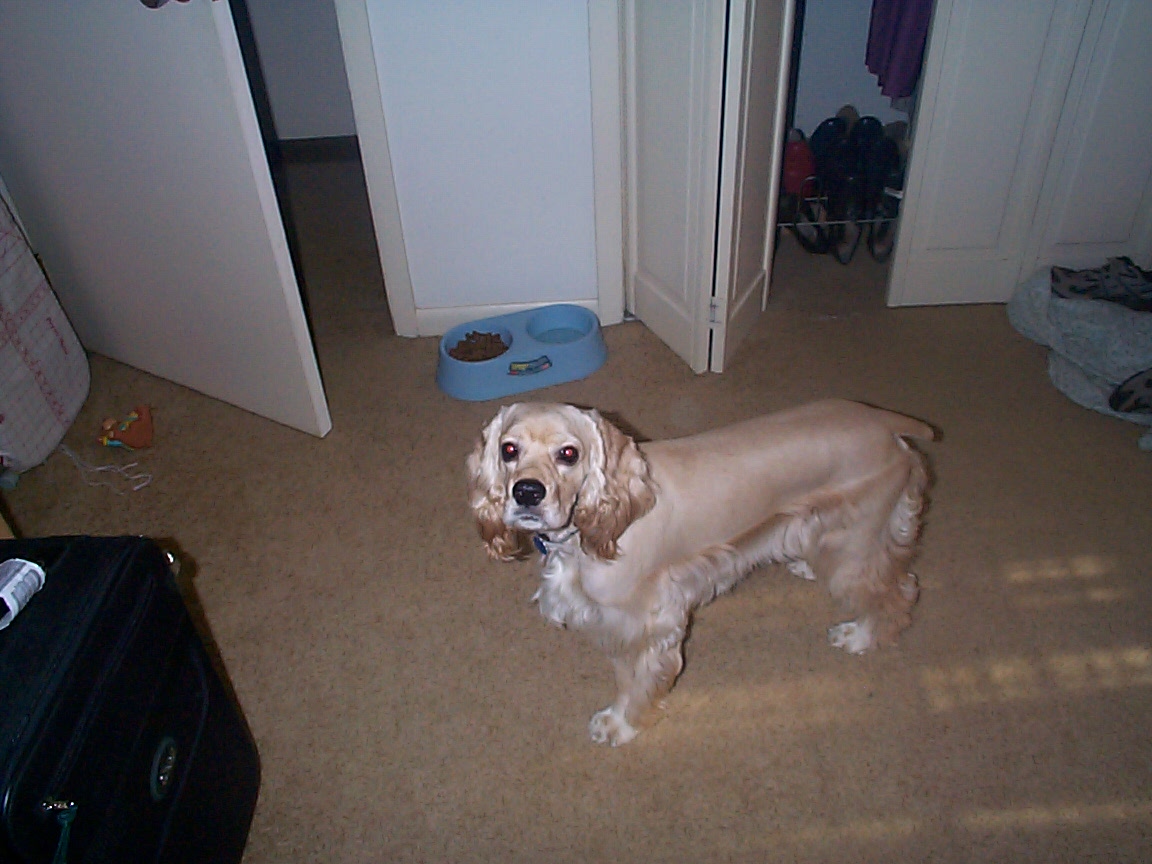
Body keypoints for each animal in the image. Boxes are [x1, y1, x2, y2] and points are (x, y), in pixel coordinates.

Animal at [467, 399, 934, 746]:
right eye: (509, 449)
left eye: (569, 453)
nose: (527, 492)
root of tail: (884, 421)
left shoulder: (643, 625)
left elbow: (635, 683)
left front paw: (621, 724)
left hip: (852, 547)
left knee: (898, 590)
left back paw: (861, 636)